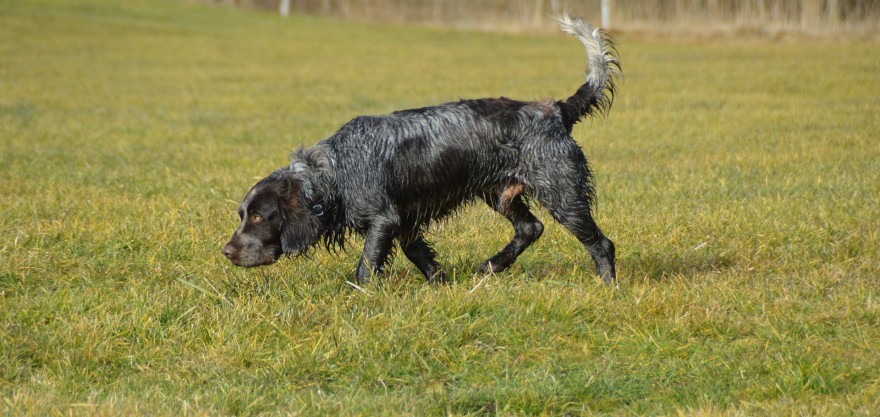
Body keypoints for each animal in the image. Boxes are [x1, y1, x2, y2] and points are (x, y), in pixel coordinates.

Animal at [223, 15, 624, 282]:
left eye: (258, 217)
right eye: (243, 214)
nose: (226, 251)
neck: (335, 171)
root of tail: (557, 109)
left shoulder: (384, 220)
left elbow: (366, 268)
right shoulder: (405, 224)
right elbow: (424, 260)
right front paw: (442, 285)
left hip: (564, 195)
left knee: (601, 244)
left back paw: (606, 284)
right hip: (500, 194)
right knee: (531, 227)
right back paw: (492, 265)